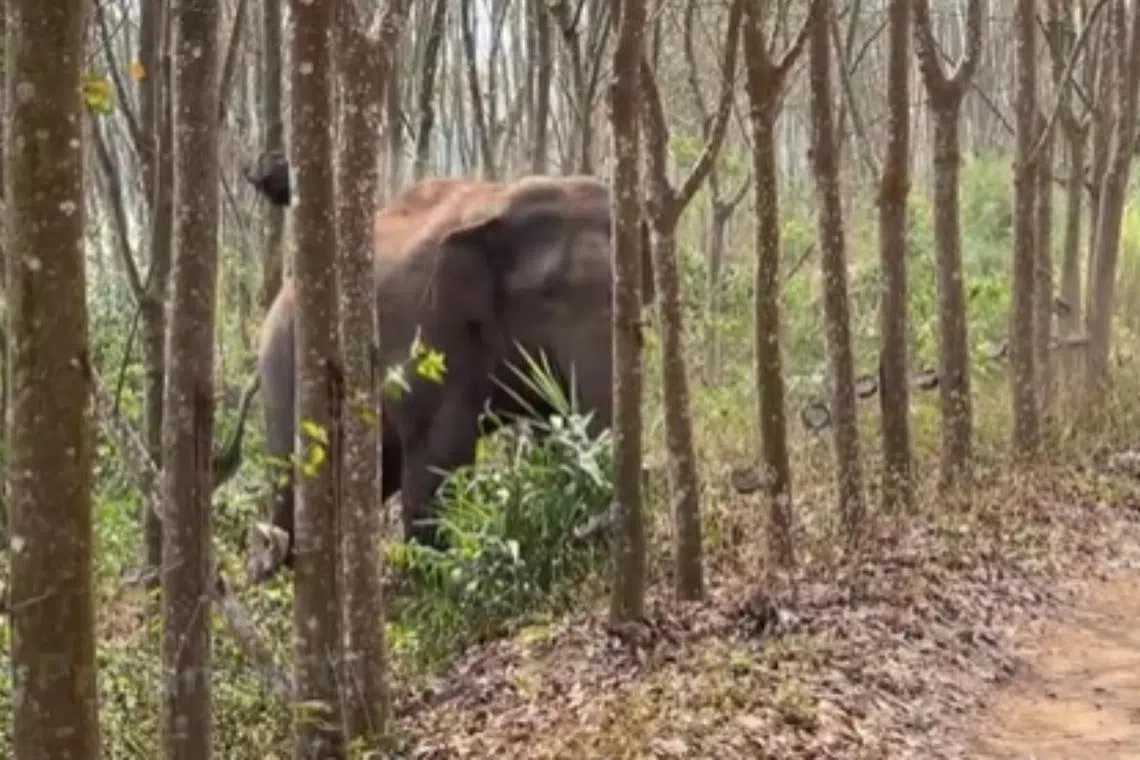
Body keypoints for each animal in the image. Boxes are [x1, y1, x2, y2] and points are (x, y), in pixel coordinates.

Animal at [214, 150, 654, 582]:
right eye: (547, 295)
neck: (501, 202)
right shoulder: (431, 333)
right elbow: (441, 451)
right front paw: (436, 574)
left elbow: (548, 429)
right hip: (284, 368)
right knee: (297, 475)